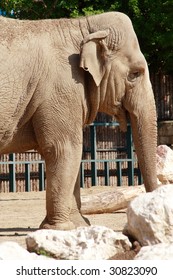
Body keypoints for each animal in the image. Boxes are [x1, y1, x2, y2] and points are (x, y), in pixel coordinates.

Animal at [0, 11, 158, 230]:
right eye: (135, 74)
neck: (81, 26)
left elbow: (76, 152)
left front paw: (80, 225)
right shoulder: (62, 89)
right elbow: (64, 148)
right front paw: (60, 228)